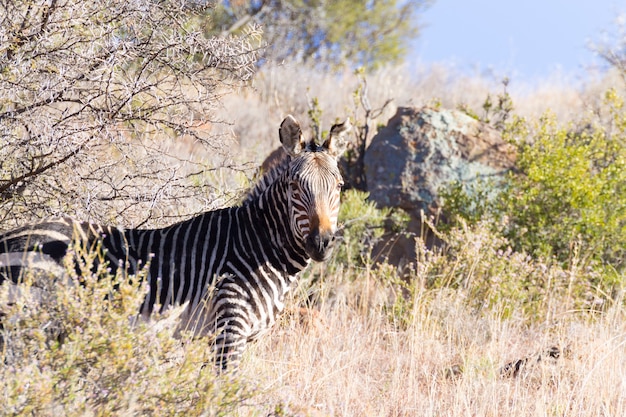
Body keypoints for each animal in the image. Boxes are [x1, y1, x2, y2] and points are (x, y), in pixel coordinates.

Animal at [0, 114, 352, 370]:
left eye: (339, 187)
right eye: (295, 187)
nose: (321, 243)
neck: (258, 244)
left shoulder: (229, 337)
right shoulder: (229, 328)